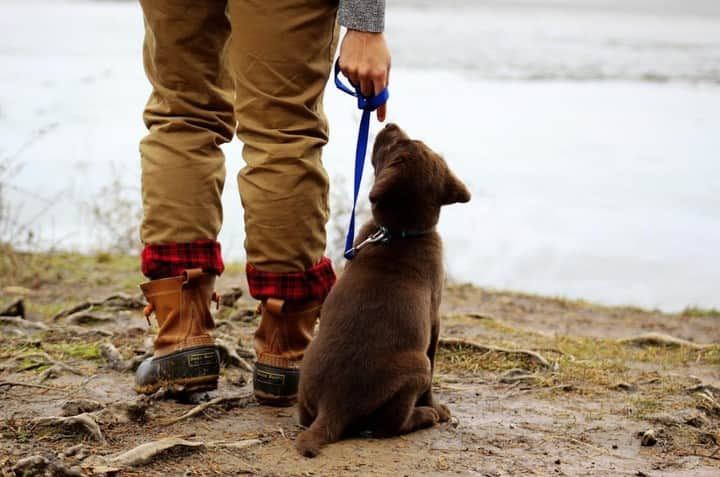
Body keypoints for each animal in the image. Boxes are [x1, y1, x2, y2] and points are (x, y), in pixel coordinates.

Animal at [294, 123, 470, 458]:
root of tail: (331, 407)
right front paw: (439, 408)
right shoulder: (434, 324)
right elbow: (432, 379)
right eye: (400, 141)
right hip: (417, 365)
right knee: (390, 425)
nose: (389, 124)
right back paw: (427, 415)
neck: (398, 233)